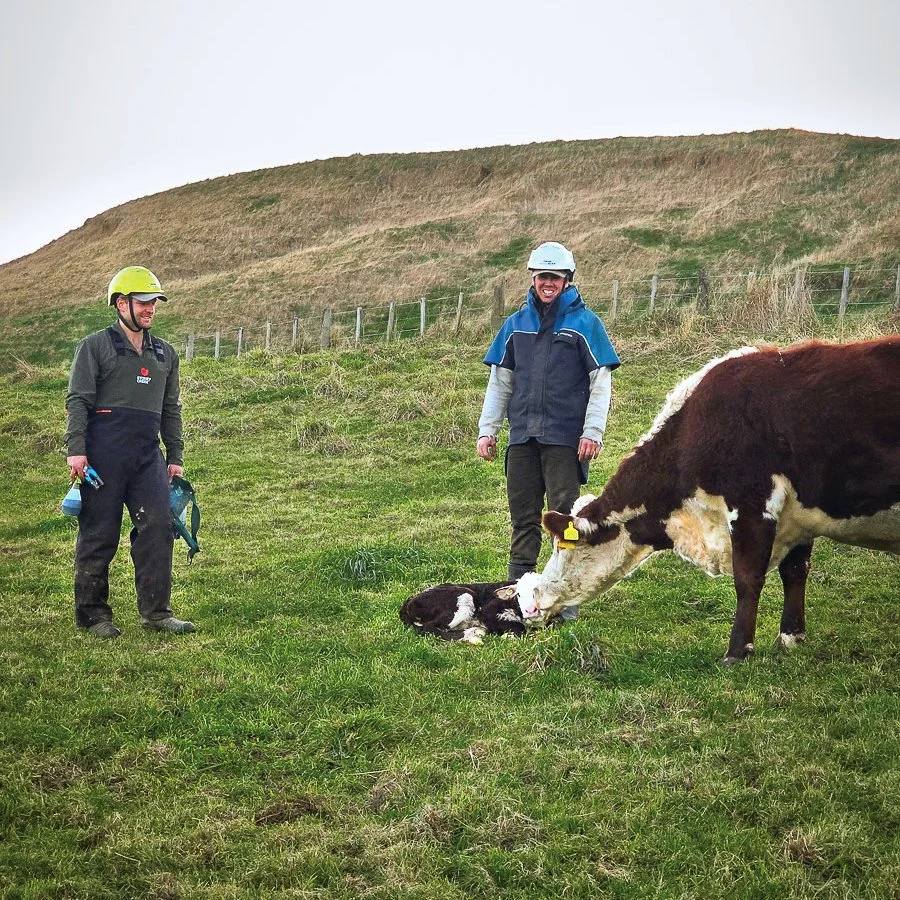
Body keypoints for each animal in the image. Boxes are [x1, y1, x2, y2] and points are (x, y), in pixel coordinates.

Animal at [400, 574, 541, 644]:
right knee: (430, 628)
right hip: (464, 596)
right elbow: (519, 627)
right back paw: (473, 635)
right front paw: (509, 635)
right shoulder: (488, 611)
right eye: (520, 594)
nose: (531, 609)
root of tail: (409, 602)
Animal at [524, 338, 900, 665]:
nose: (533, 602)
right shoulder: (799, 517)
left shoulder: (752, 505)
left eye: (563, 547)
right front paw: (790, 638)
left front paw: (737, 652)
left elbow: (748, 579)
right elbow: (795, 571)